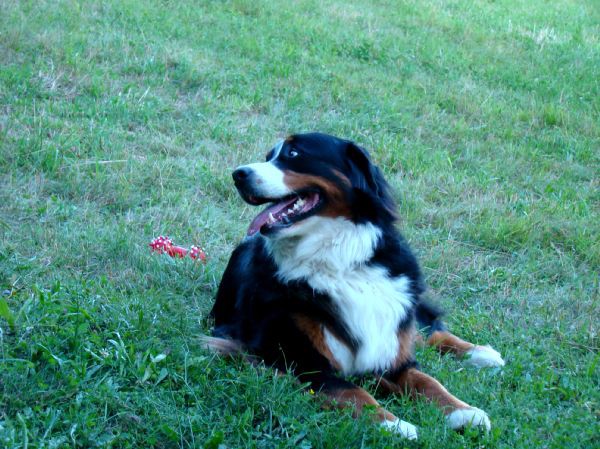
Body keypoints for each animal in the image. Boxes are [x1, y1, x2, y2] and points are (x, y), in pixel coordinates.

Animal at [204, 132, 504, 438]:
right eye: (268, 157)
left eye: (294, 153)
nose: (238, 174)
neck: (337, 260)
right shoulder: (290, 358)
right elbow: (353, 391)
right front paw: (394, 425)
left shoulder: (389, 345)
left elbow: (426, 380)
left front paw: (464, 411)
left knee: (426, 330)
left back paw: (481, 353)